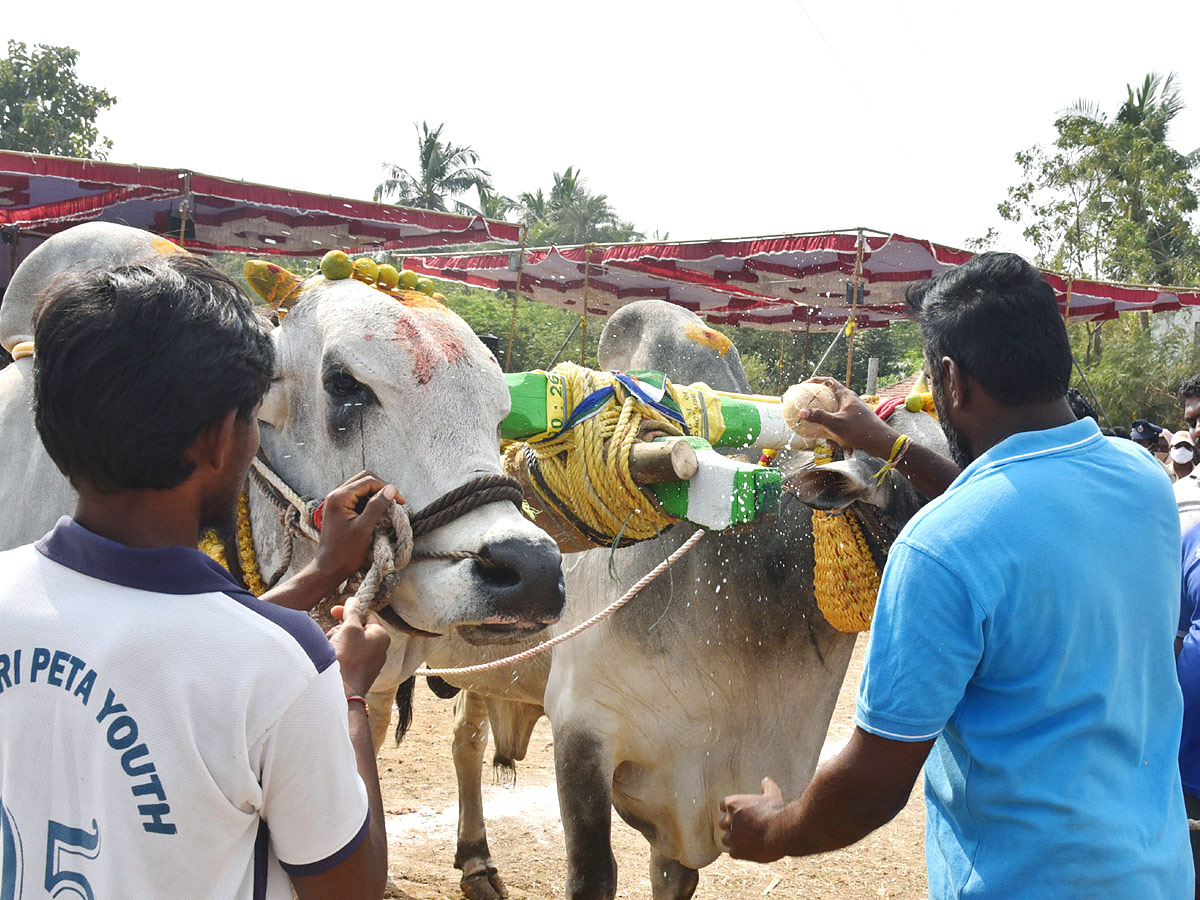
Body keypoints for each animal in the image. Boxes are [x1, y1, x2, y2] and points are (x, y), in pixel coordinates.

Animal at [412, 301, 945, 900]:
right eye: (916, 491)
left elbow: (675, 877)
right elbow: (593, 874)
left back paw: (476, 860)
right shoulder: (582, 727)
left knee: (466, 736)